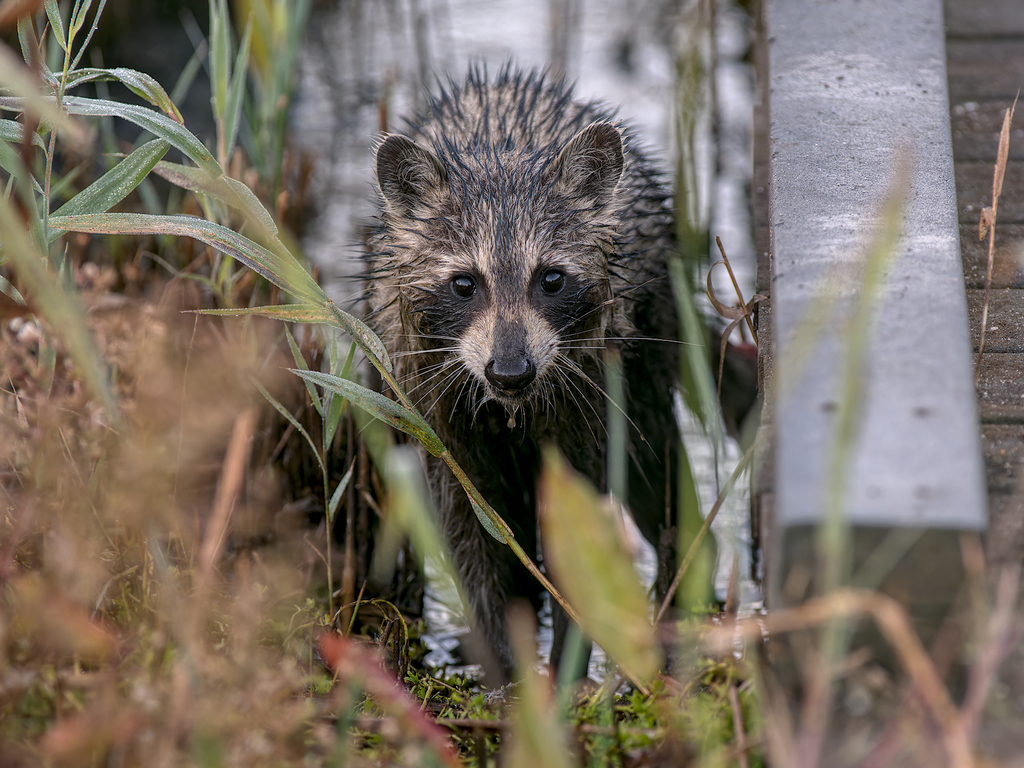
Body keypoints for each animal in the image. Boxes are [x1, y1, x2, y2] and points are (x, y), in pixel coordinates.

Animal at [366, 66, 727, 680]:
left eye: (551, 279)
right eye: (464, 284)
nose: (511, 371)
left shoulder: (592, 390)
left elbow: (579, 533)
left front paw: (566, 669)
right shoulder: (434, 406)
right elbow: (471, 529)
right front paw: (504, 669)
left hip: (649, 351)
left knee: (655, 465)